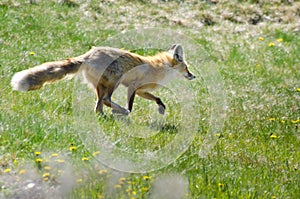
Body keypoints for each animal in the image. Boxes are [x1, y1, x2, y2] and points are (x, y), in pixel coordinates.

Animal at [10, 43, 196, 115]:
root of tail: (88, 55)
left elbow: (157, 98)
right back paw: (120, 112)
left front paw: (161, 108)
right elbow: (131, 105)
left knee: (98, 106)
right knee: (106, 100)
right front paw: (127, 112)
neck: (159, 68)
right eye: (187, 68)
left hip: (100, 86)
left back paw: (105, 116)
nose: (193, 76)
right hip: (115, 81)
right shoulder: (133, 87)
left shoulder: (141, 91)